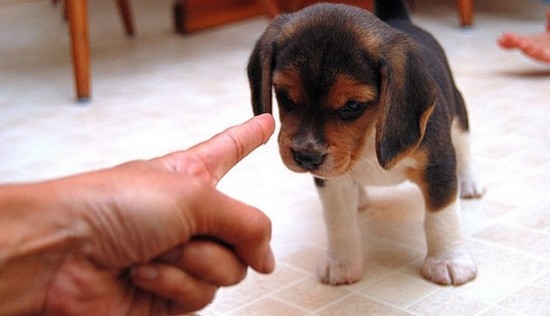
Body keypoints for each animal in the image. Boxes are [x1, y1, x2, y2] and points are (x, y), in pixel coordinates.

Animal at [250, 0, 488, 286]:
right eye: (285, 95)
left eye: (352, 105)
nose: (306, 157)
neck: (368, 136)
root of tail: (398, 19)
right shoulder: (332, 183)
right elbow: (339, 222)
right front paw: (341, 263)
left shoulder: (437, 165)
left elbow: (441, 218)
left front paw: (449, 261)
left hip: (459, 116)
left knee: (464, 148)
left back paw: (470, 183)